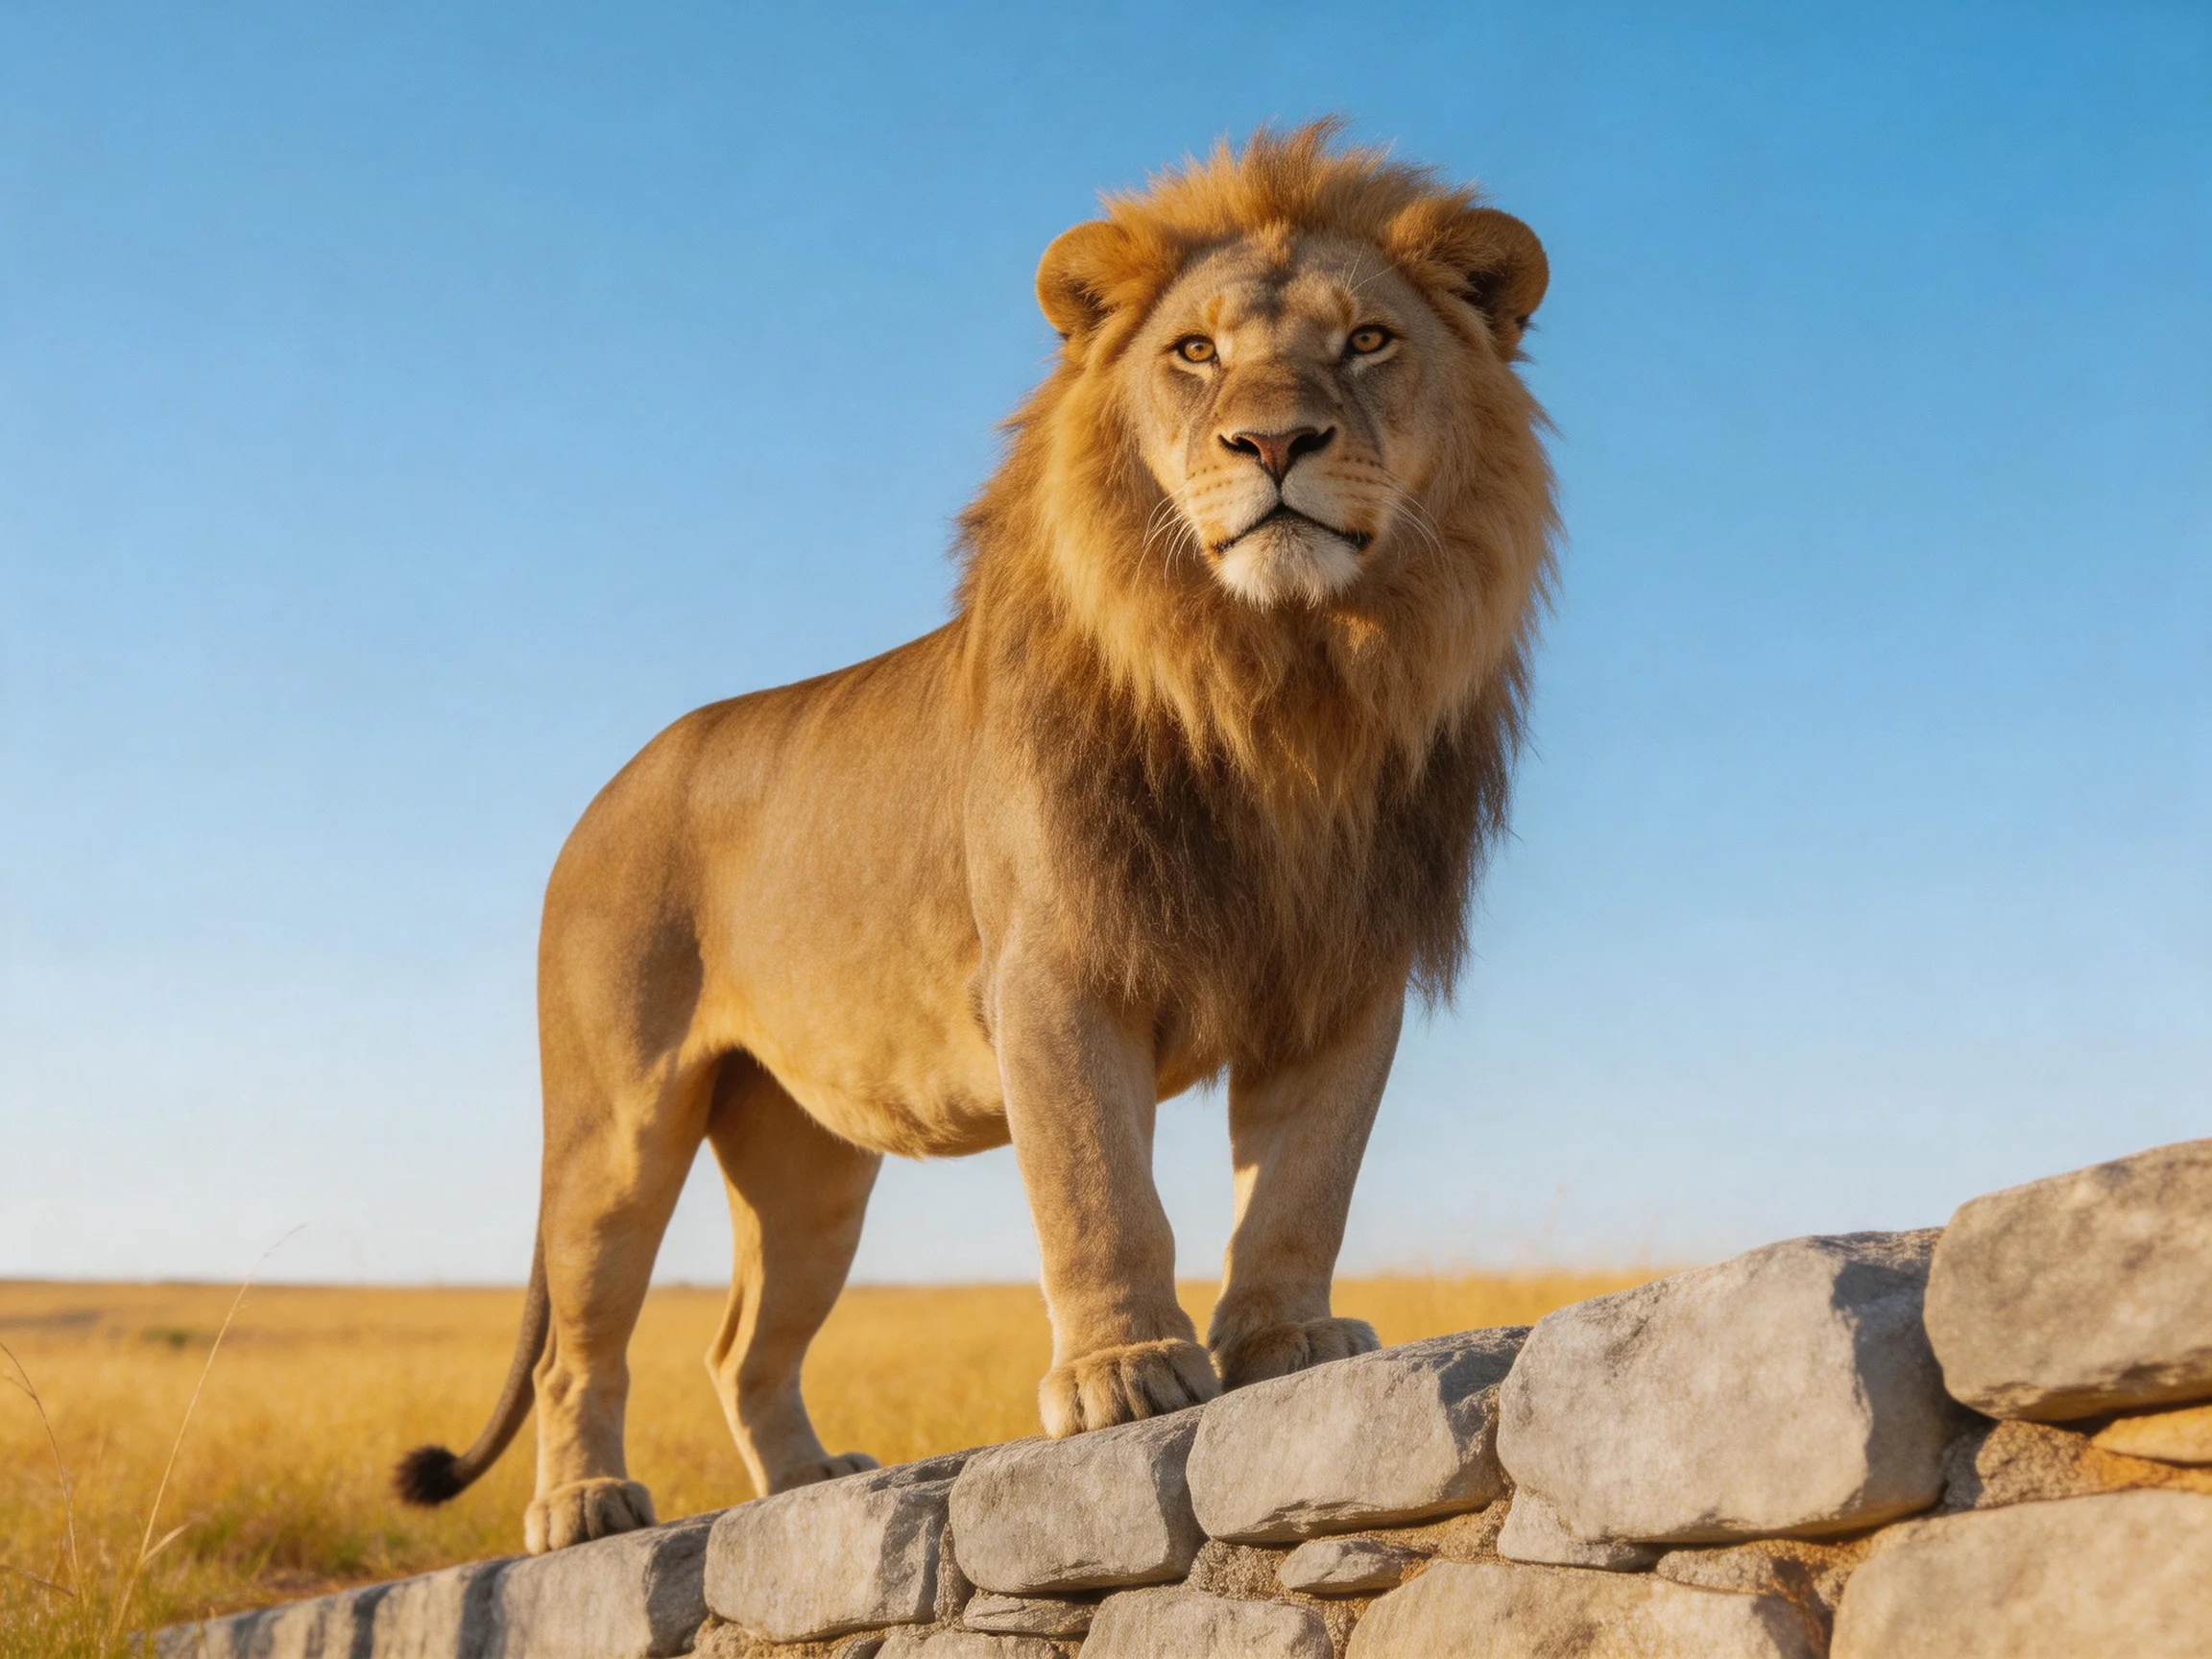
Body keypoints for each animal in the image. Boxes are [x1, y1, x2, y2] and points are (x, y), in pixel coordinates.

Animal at [394, 122, 1556, 1553]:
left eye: (1370, 341)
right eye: (1196, 351)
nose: (1275, 440)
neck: (1279, 682)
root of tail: (606, 789)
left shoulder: (1342, 979)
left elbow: (1301, 1185)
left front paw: (1286, 1341)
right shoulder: (1053, 970)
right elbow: (1097, 1183)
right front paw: (1124, 1373)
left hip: (808, 1166)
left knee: (745, 1344)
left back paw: (806, 1482)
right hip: (616, 1124)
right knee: (581, 1342)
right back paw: (587, 1505)